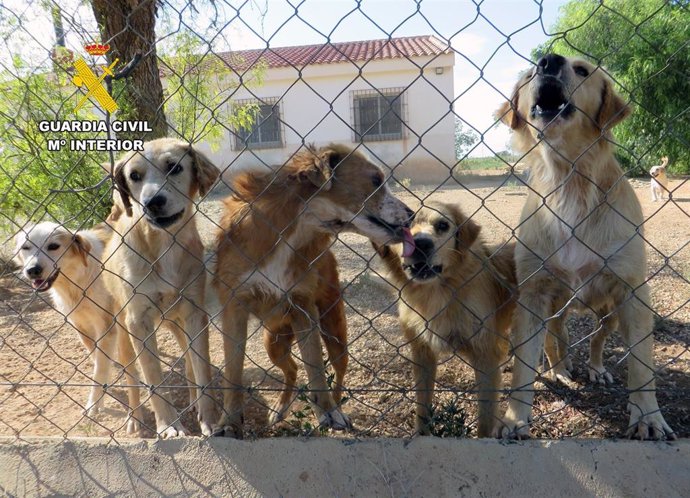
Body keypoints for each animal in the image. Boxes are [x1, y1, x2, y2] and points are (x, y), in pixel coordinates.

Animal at [13, 222, 142, 432]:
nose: (33, 270)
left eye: (53, 246)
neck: (75, 282)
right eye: (26, 248)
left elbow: (99, 368)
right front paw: (103, 391)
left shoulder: (107, 327)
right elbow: (98, 361)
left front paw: (93, 404)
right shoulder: (81, 327)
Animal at [212, 142, 412, 438]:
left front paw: (328, 413)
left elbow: (316, 366)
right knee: (292, 370)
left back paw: (336, 407)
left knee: (337, 374)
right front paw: (228, 422)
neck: (292, 231)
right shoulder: (234, 307)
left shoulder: (303, 308)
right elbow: (233, 371)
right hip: (273, 342)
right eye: (375, 180)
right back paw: (280, 409)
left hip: (335, 332)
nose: (412, 214)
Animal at [374, 201, 512, 436]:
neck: (436, 294)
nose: (420, 244)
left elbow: (485, 419)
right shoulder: (422, 353)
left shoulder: (484, 356)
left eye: (442, 225)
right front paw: (422, 434)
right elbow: (422, 405)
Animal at [494, 52, 672, 438]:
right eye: (528, 75)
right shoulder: (533, 294)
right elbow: (523, 367)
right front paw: (515, 419)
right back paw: (561, 368)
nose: (548, 61)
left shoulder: (633, 292)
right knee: (555, 337)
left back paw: (595, 368)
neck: (568, 181)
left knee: (596, 338)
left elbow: (642, 364)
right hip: (555, 305)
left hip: (609, 312)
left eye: (582, 70)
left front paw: (648, 417)